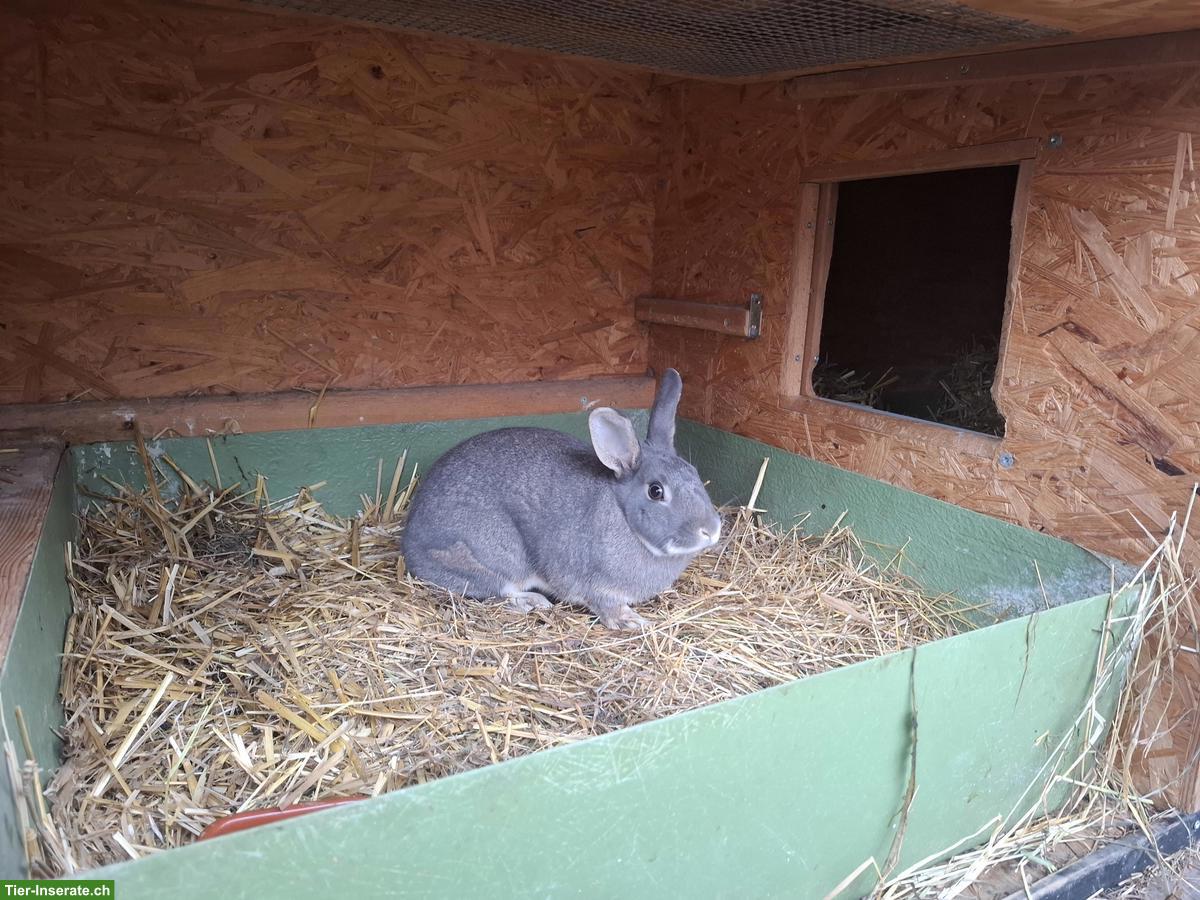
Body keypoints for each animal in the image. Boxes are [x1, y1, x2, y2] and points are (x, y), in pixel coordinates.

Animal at [401, 369, 722, 630]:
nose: (711, 530)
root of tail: (410, 545)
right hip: (493, 552)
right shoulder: (594, 583)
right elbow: (605, 604)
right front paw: (631, 621)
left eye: (694, 472)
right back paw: (533, 602)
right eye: (656, 491)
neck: (624, 519)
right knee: (498, 588)